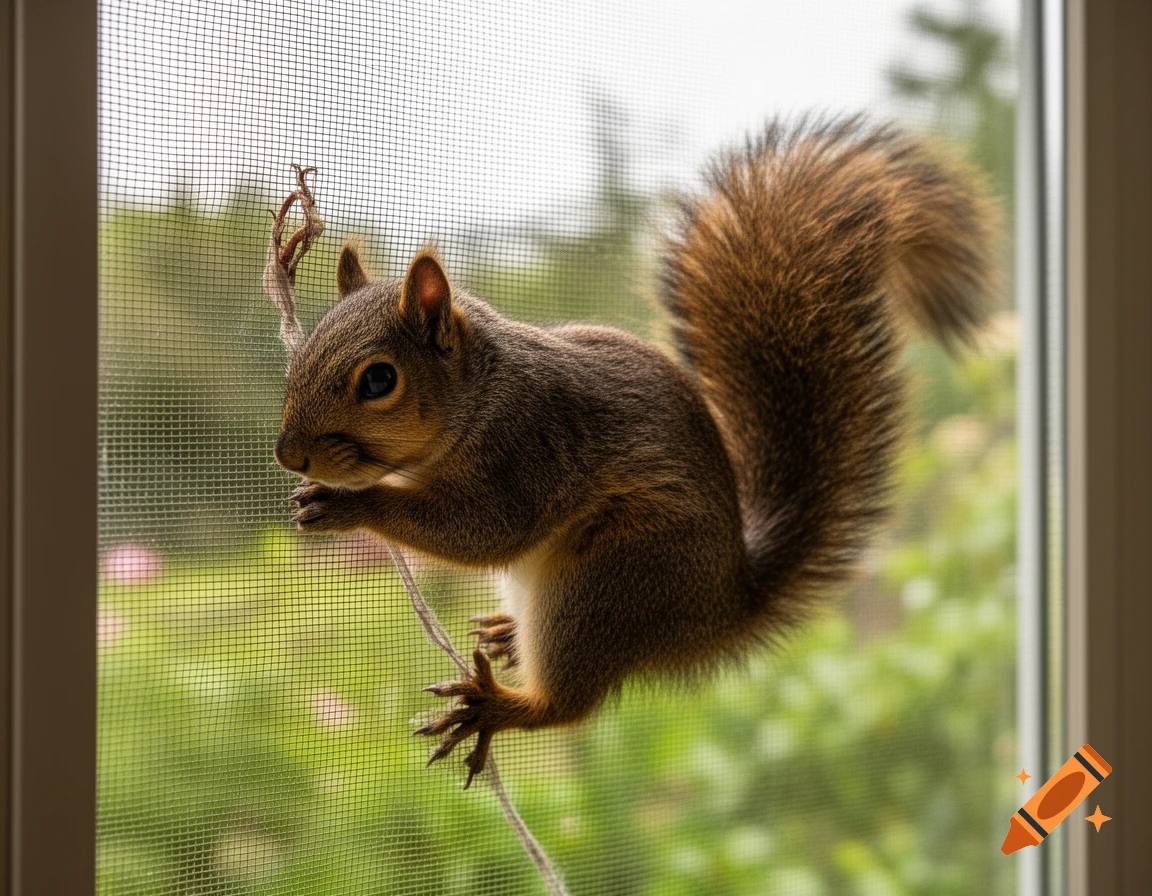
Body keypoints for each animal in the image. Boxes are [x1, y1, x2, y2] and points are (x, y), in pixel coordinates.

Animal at [273, 117, 994, 787]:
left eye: (378, 381)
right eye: (301, 358)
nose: (288, 455)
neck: (478, 397)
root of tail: (721, 607)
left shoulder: (527, 456)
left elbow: (482, 532)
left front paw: (350, 504)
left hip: (606, 580)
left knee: (568, 706)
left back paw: (497, 706)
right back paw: (509, 638)